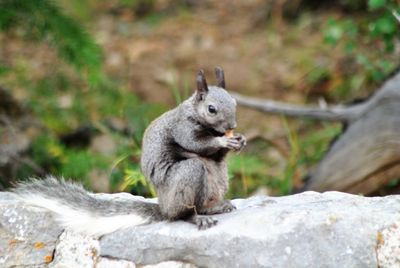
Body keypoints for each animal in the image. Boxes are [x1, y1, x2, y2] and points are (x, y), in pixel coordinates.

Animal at [12, 67, 245, 237]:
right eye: (211, 109)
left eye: (234, 102)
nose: (232, 125)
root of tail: (162, 206)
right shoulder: (182, 128)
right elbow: (196, 144)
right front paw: (223, 141)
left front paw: (240, 139)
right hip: (187, 177)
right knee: (180, 214)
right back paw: (197, 217)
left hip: (219, 179)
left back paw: (217, 207)